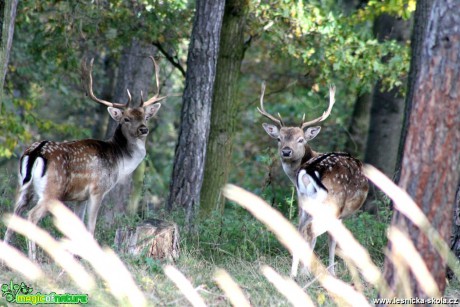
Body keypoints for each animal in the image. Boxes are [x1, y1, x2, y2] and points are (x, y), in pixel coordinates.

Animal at [4, 56, 167, 262]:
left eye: (146, 116)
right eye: (126, 119)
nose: (144, 129)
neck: (120, 162)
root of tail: (36, 152)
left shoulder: (79, 197)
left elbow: (77, 227)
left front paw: (74, 256)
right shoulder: (98, 189)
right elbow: (90, 226)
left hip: (24, 188)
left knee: (13, 216)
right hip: (51, 191)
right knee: (31, 217)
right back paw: (33, 259)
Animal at [258, 83, 370, 278]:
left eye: (301, 139)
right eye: (279, 138)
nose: (286, 151)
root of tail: (309, 170)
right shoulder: (338, 214)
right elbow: (333, 240)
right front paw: (331, 272)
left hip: (304, 202)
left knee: (299, 231)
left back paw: (294, 273)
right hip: (332, 203)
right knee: (311, 232)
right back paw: (309, 273)